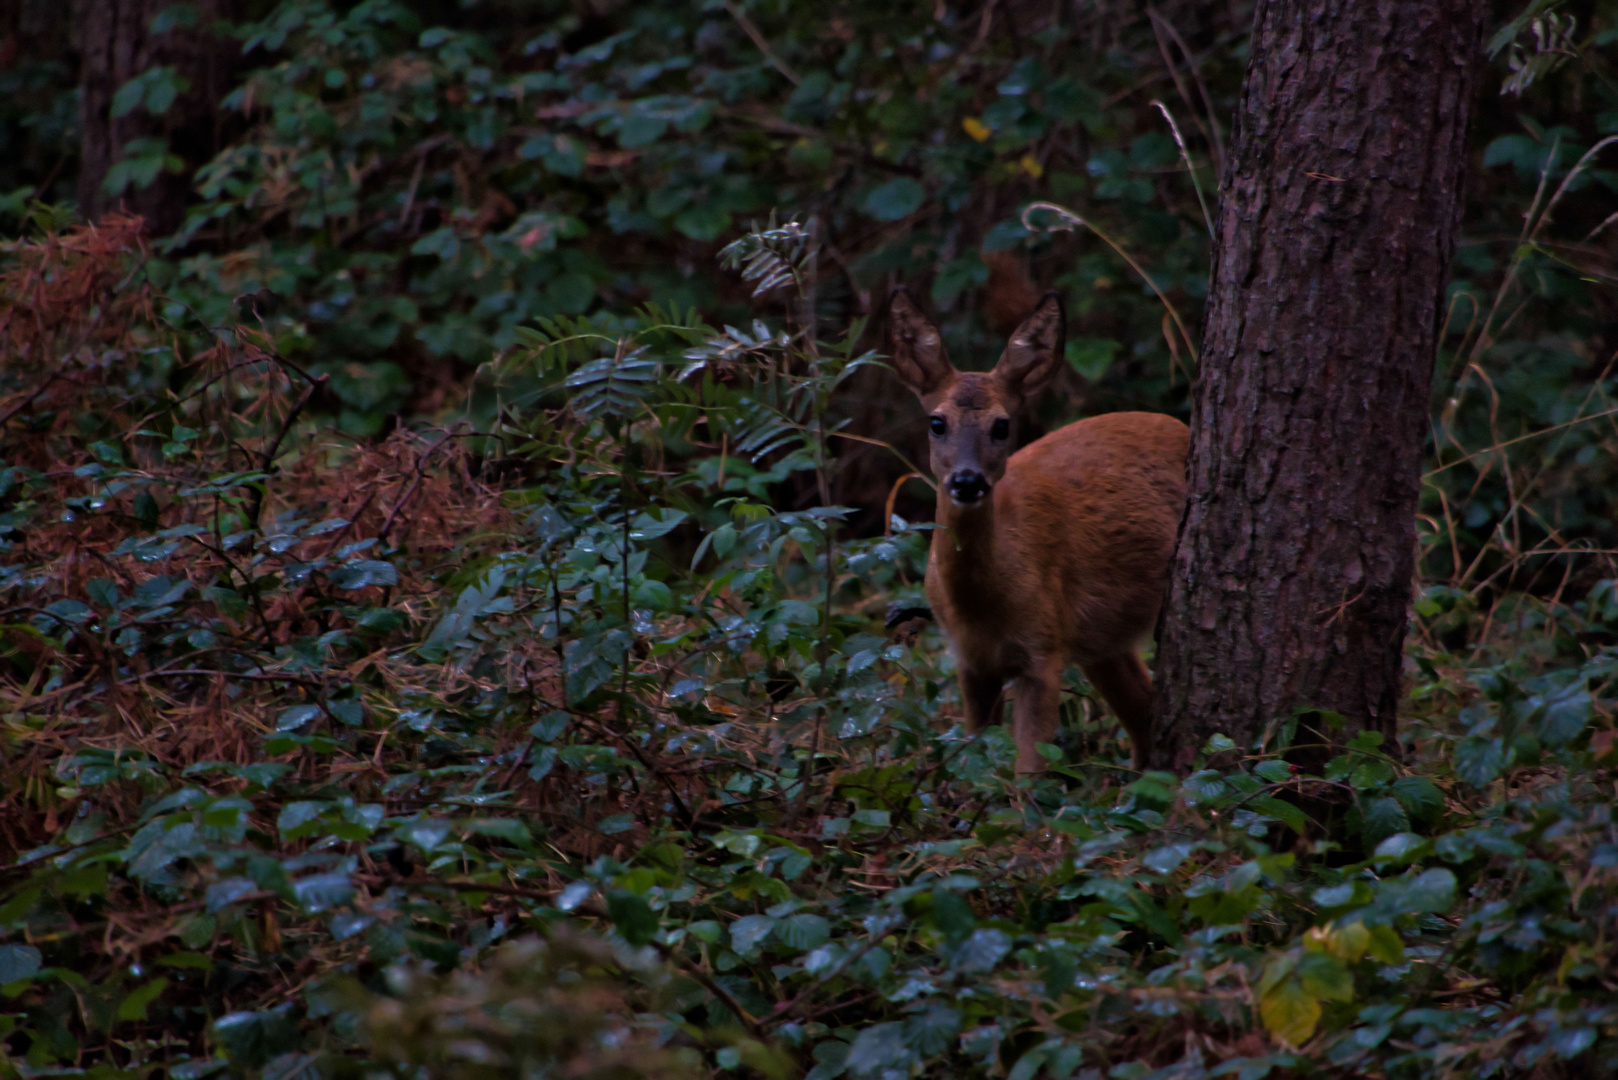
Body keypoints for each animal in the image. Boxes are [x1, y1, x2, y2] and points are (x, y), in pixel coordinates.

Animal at [886, 289, 1190, 777]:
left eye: (1002, 425)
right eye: (936, 422)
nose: (967, 481)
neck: (984, 605)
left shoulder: (1044, 648)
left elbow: (1029, 772)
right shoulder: (969, 662)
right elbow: (974, 761)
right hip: (1102, 640)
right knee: (1142, 716)